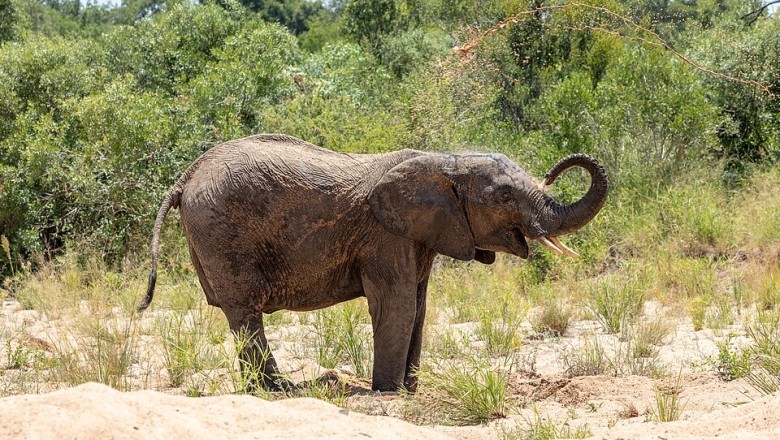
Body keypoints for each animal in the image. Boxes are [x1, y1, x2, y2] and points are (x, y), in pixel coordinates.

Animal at [137, 133, 608, 392]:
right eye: (504, 196)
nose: (556, 169)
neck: (444, 161)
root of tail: (186, 175)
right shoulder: (385, 236)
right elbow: (396, 306)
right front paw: (390, 393)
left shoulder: (420, 235)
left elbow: (419, 308)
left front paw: (412, 388)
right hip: (221, 230)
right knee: (245, 311)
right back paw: (279, 389)